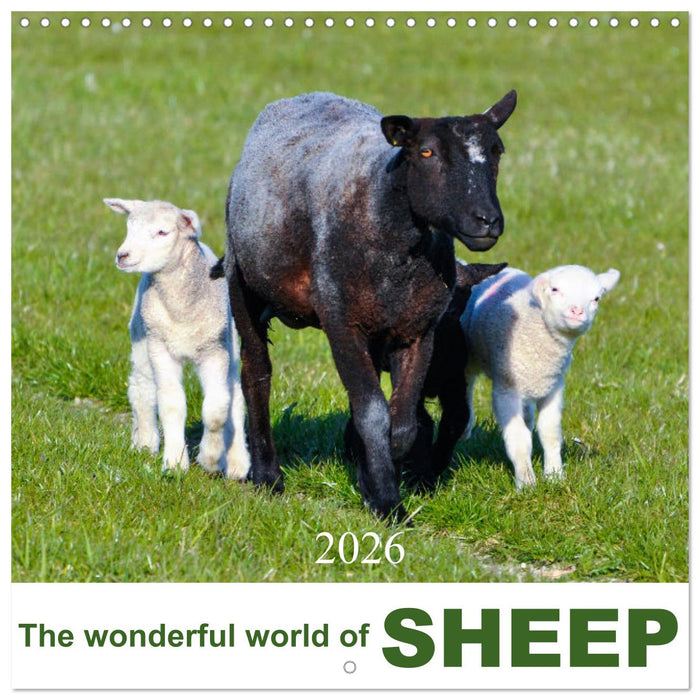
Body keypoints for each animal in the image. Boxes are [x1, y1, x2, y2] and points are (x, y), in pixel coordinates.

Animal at [105, 198, 250, 480]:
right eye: (129, 226)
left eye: (163, 232)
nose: (122, 256)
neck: (181, 310)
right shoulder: (160, 347)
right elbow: (171, 404)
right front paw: (174, 462)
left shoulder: (214, 350)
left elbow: (217, 408)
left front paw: (211, 459)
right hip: (141, 336)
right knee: (142, 386)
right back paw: (145, 441)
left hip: (231, 344)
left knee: (236, 398)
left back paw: (238, 463)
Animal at [225, 90, 516, 519]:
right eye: (426, 152)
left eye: (497, 151)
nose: (487, 221)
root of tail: (298, 97)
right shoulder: (341, 322)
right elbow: (373, 413)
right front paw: (386, 502)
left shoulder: (418, 330)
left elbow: (402, 421)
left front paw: (381, 472)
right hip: (242, 280)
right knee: (256, 374)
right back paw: (267, 475)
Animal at [461, 264, 620, 490]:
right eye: (555, 289)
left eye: (596, 298)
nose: (577, 311)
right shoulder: (506, 389)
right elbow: (519, 439)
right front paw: (526, 482)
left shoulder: (554, 387)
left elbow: (550, 433)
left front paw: (554, 475)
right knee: (466, 383)